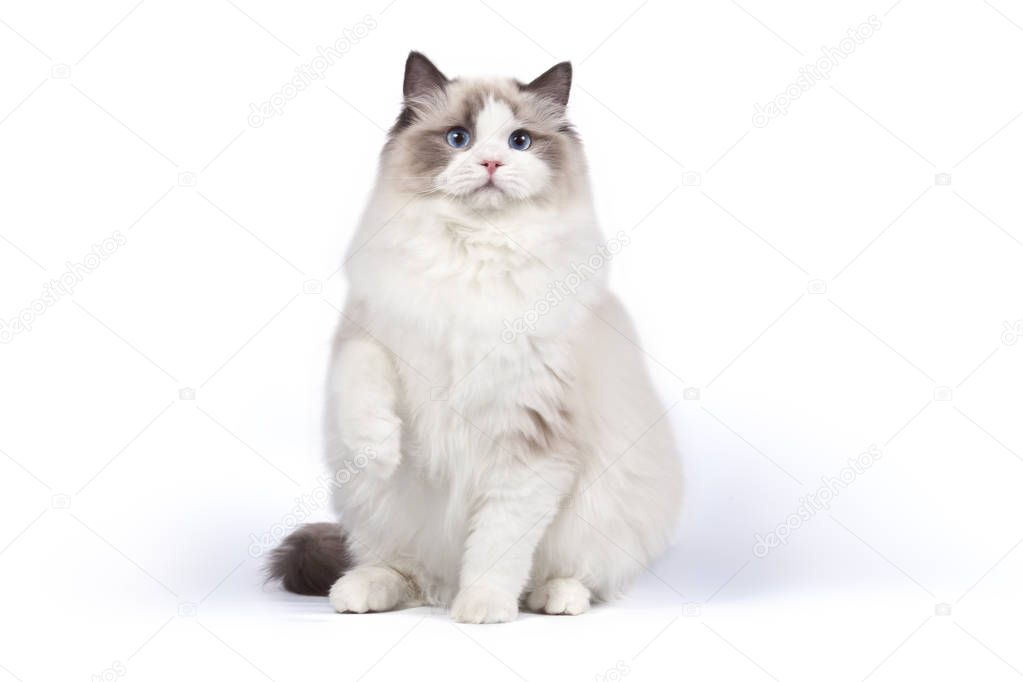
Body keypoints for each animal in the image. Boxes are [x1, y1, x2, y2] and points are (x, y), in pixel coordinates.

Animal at [268, 50, 683, 621]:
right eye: (458, 138)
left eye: (519, 142)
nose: (490, 164)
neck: (474, 256)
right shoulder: (370, 331)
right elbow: (363, 387)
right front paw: (381, 448)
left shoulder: (530, 439)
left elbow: (497, 544)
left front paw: (482, 607)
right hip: (374, 509)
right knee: (407, 573)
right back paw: (360, 591)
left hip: (605, 511)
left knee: (575, 577)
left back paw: (550, 599)